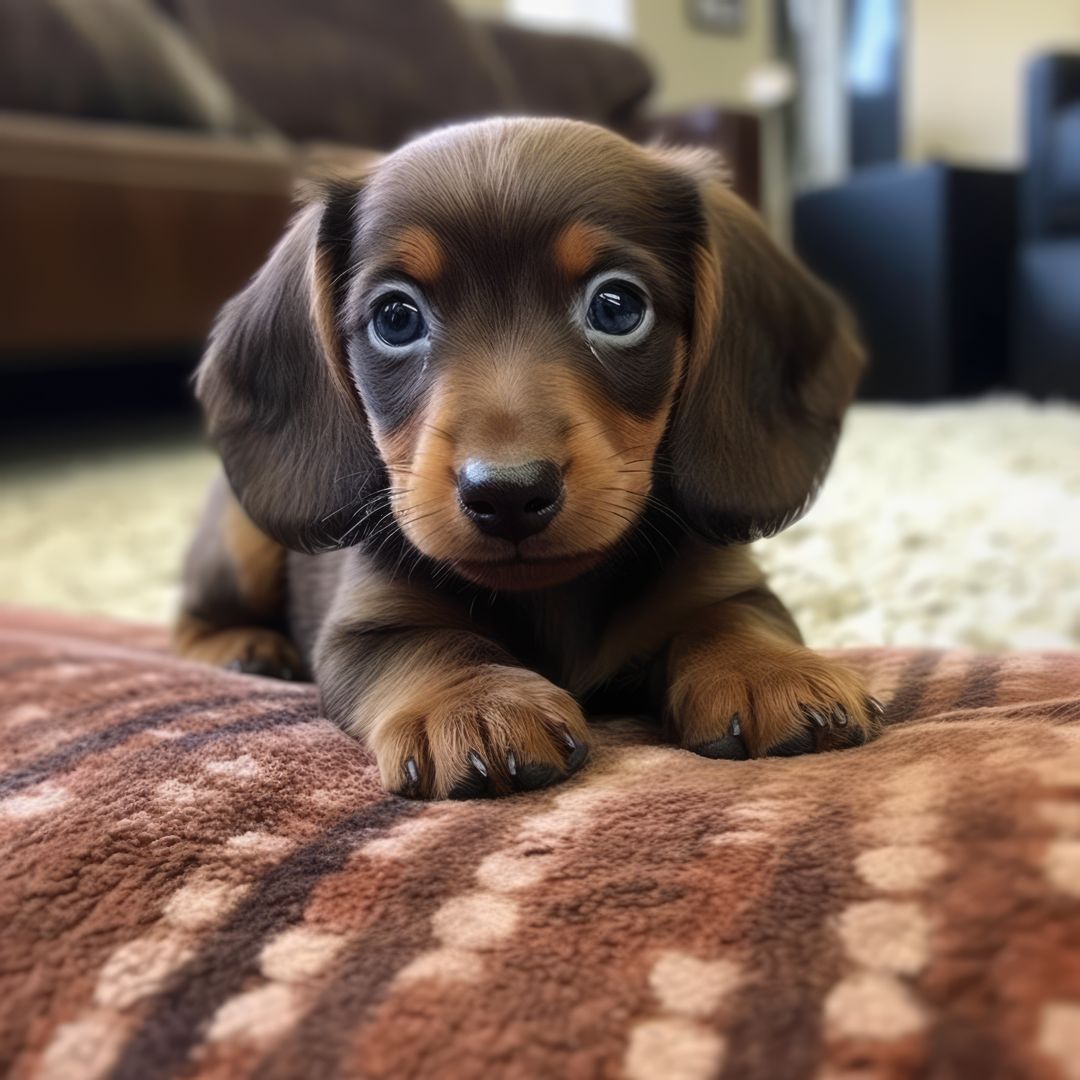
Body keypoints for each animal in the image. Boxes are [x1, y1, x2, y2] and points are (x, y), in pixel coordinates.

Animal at [177, 118, 881, 799]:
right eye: (395, 317)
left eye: (618, 307)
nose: (507, 493)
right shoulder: (364, 626)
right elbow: (433, 645)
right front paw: (477, 704)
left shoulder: (723, 580)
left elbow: (731, 619)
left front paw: (770, 670)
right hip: (242, 544)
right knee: (188, 620)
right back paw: (247, 646)